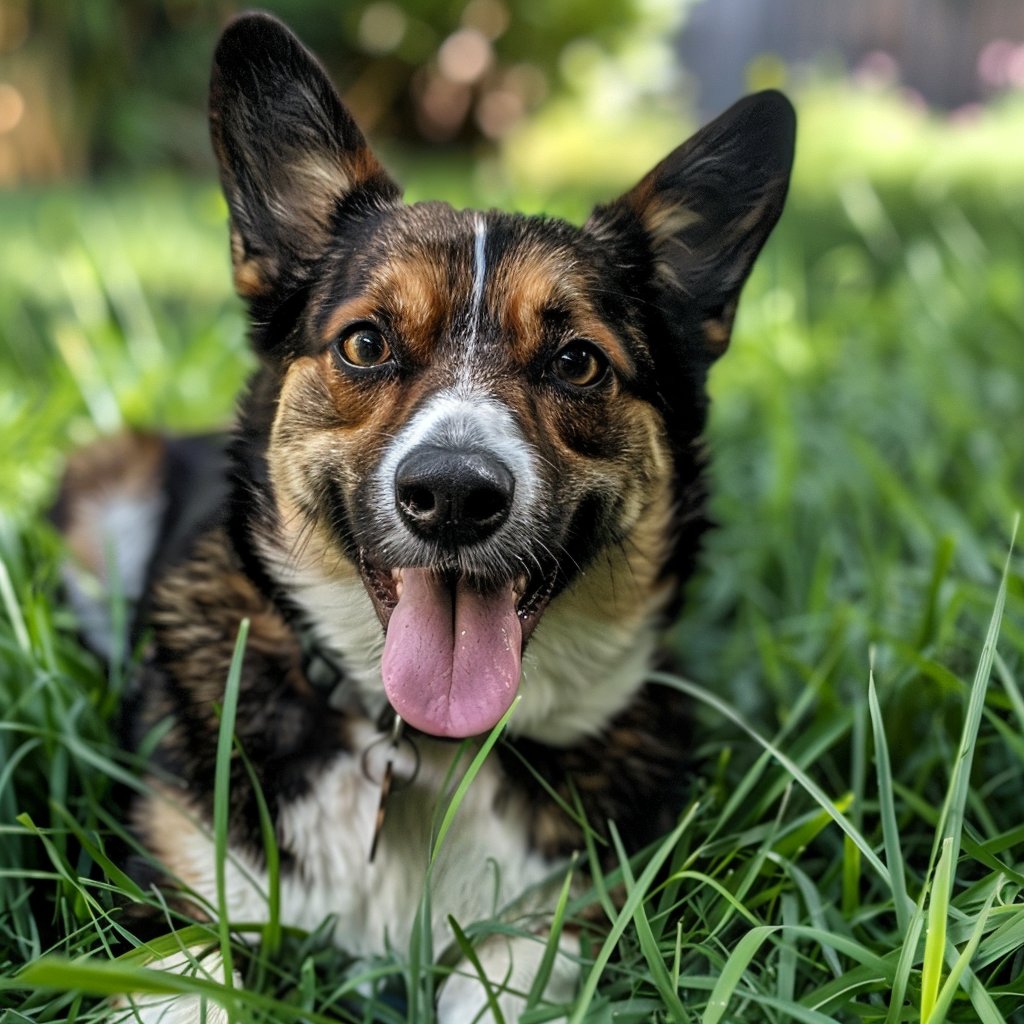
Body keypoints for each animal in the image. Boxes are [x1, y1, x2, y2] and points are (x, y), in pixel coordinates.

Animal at [51, 9, 794, 1024]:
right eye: (366, 344)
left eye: (578, 363)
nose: (452, 497)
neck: (423, 749)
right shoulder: (175, 909)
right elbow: (189, 977)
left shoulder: (547, 925)